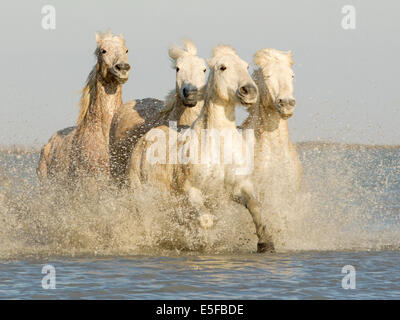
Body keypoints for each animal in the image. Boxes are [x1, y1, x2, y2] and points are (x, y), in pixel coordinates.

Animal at [128, 45, 276, 254]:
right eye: (222, 67)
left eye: (246, 66)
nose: (249, 91)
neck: (218, 147)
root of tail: (145, 138)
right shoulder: (192, 191)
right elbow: (205, 220)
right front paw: (205, 244)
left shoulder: (239, 187)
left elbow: (256, 208)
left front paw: (266, 244)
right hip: (141, 197)